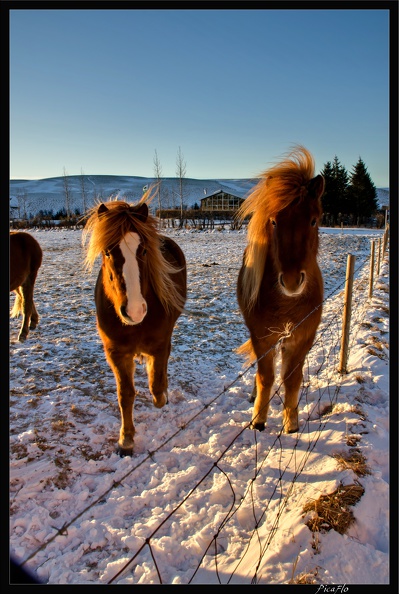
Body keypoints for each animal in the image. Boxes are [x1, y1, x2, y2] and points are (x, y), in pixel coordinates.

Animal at [83, 198, 189, 454]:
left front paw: (163, 395)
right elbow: (125, 395)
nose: (134, 311)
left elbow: (156, 388)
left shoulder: (159, 345)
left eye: (143, 250)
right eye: (107, 251)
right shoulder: (116, 353)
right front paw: (126, 439)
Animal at [238, 143, 324, 430]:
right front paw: (258, 420)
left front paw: (291, 422)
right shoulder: (262, 338)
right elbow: (265, 377)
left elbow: (292, 380)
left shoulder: (303, 339)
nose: (291, 280)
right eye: (274, 221)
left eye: (314, 220)